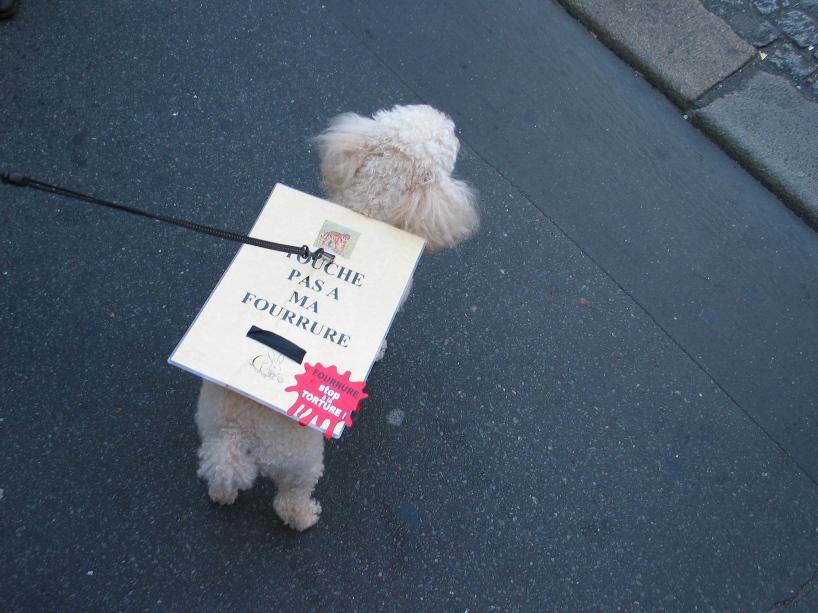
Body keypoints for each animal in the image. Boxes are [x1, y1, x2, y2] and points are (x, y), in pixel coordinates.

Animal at [194, 105, 474, 532]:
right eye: (448, 141)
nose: (460, 135)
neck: (369, 208)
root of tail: (237, 432)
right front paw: (379, 352)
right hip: (300, 463)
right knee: (289, 500)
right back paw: (305, 517)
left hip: (209, 428)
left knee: (219, 476)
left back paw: (221, 495)